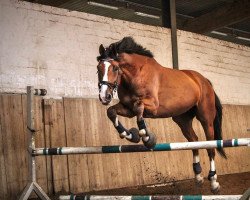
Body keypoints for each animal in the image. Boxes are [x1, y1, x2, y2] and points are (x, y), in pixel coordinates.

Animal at [95, 36, 227, 193]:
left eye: (115, 68)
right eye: (98, 68)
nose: (104, 96)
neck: (135, 74)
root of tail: (205, 81)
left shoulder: (152, 106)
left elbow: (139, 108)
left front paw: (147, 137)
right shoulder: (128, 108)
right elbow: (112, 111)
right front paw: (130, 135)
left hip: (206, 118)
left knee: (210, 145)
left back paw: (213, 181)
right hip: (182, 120)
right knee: (194, 140)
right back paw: (198, 176)